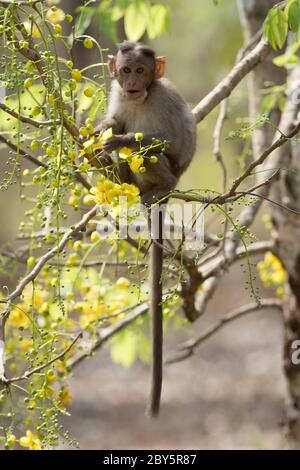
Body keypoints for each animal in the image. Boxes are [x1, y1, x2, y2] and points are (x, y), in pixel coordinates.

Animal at [92, 39, 198, 414]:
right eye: (125, 70)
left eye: (141, 70)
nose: (133, 83)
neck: (140, 99)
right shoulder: (116, 93)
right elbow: (112, 119)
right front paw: (105, 128)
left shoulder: (163, 99)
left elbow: (167, 141)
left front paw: (120, 139)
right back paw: (116, 172)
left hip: (169, 175)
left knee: (150, 152)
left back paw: (155, 182)